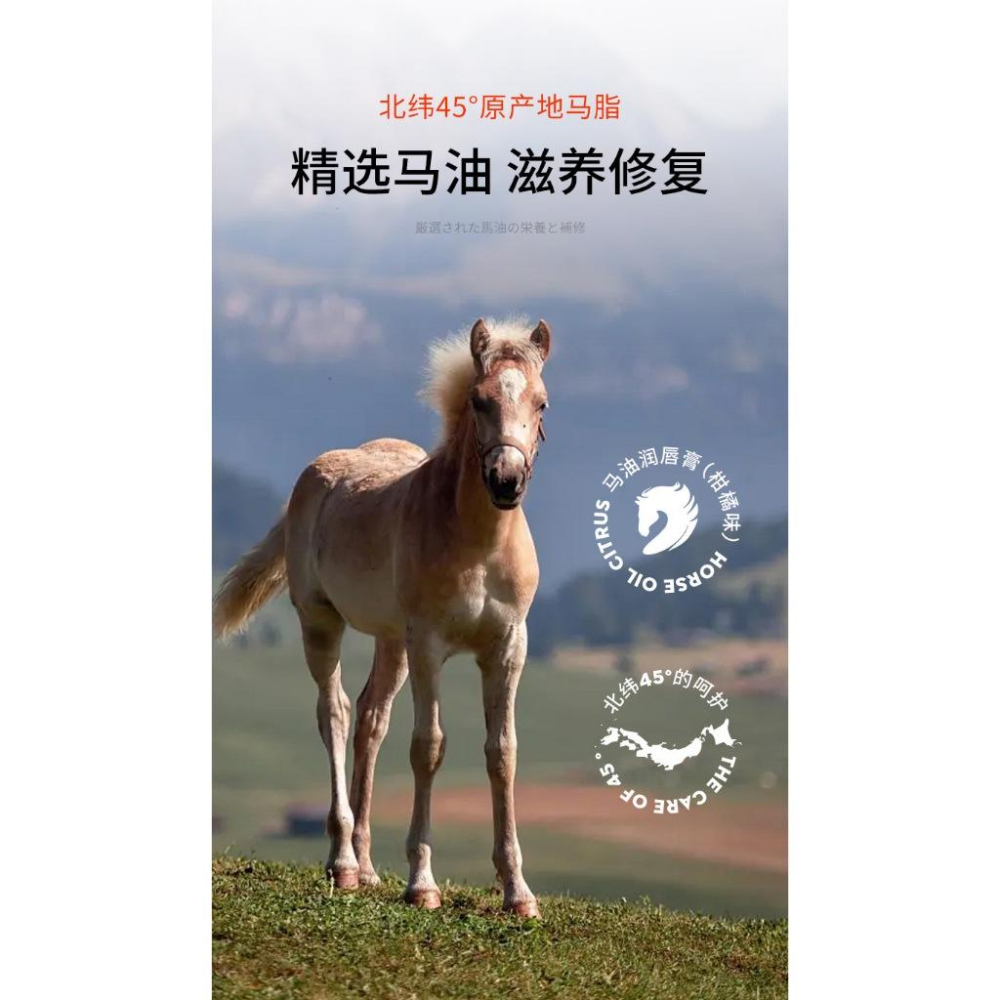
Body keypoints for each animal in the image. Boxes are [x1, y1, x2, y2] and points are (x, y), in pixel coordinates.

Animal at [213, 317, 551, 917]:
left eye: (541, 403)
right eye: (479, 399)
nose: (506, 480)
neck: (478, 544)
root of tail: (312, 477)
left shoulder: (509, 646)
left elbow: (503, 753)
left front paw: (518, 893)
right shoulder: (429, 645)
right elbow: (428, 747)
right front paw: (422, 884)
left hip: (391, 641)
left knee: (372, 719)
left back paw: (368, 866)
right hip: (322, 623)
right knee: (336, 714)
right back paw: (344, 863)